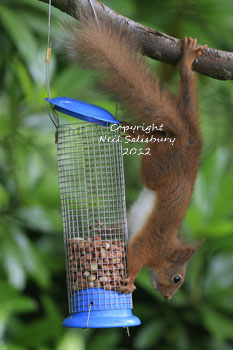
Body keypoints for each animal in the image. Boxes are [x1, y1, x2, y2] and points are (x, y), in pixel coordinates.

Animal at [64, 6, 208, 300]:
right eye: (177, 278)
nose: (167, 298)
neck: (166, 250)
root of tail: (188, 138)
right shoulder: (150, 243)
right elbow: (137, 254)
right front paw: (130, 281)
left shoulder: (133, 225)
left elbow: (121, 226)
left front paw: (103, 229)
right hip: (160, 167)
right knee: (159, 140)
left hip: (170, 140)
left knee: (172, 117)